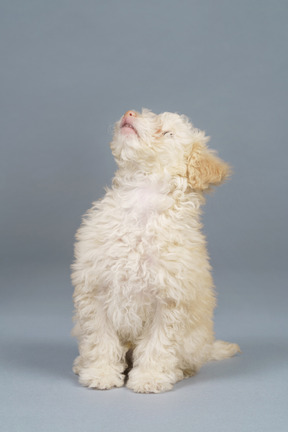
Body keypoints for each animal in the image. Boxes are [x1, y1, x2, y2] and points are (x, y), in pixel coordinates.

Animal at [71, 109, 240, 394]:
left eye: (168, 132)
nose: (129, 112)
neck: (141, 198)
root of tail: (207, 347)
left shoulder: (169, 300)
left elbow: (157, 345)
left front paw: (149, 377)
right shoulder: (94, 289)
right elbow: (100, 339)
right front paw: (101, 372)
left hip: (193, 342)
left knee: (187, 361)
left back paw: (180, 372)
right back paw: (80, 363)